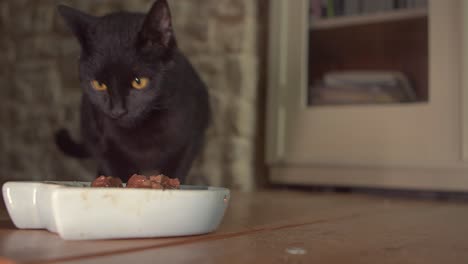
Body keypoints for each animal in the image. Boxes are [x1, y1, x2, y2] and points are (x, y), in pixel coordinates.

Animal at [54, 0, 211, 184]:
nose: (117, 110)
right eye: (99, 84)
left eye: (138, 82)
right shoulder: (102, 146)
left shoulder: (191, 140)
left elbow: (177, 172)